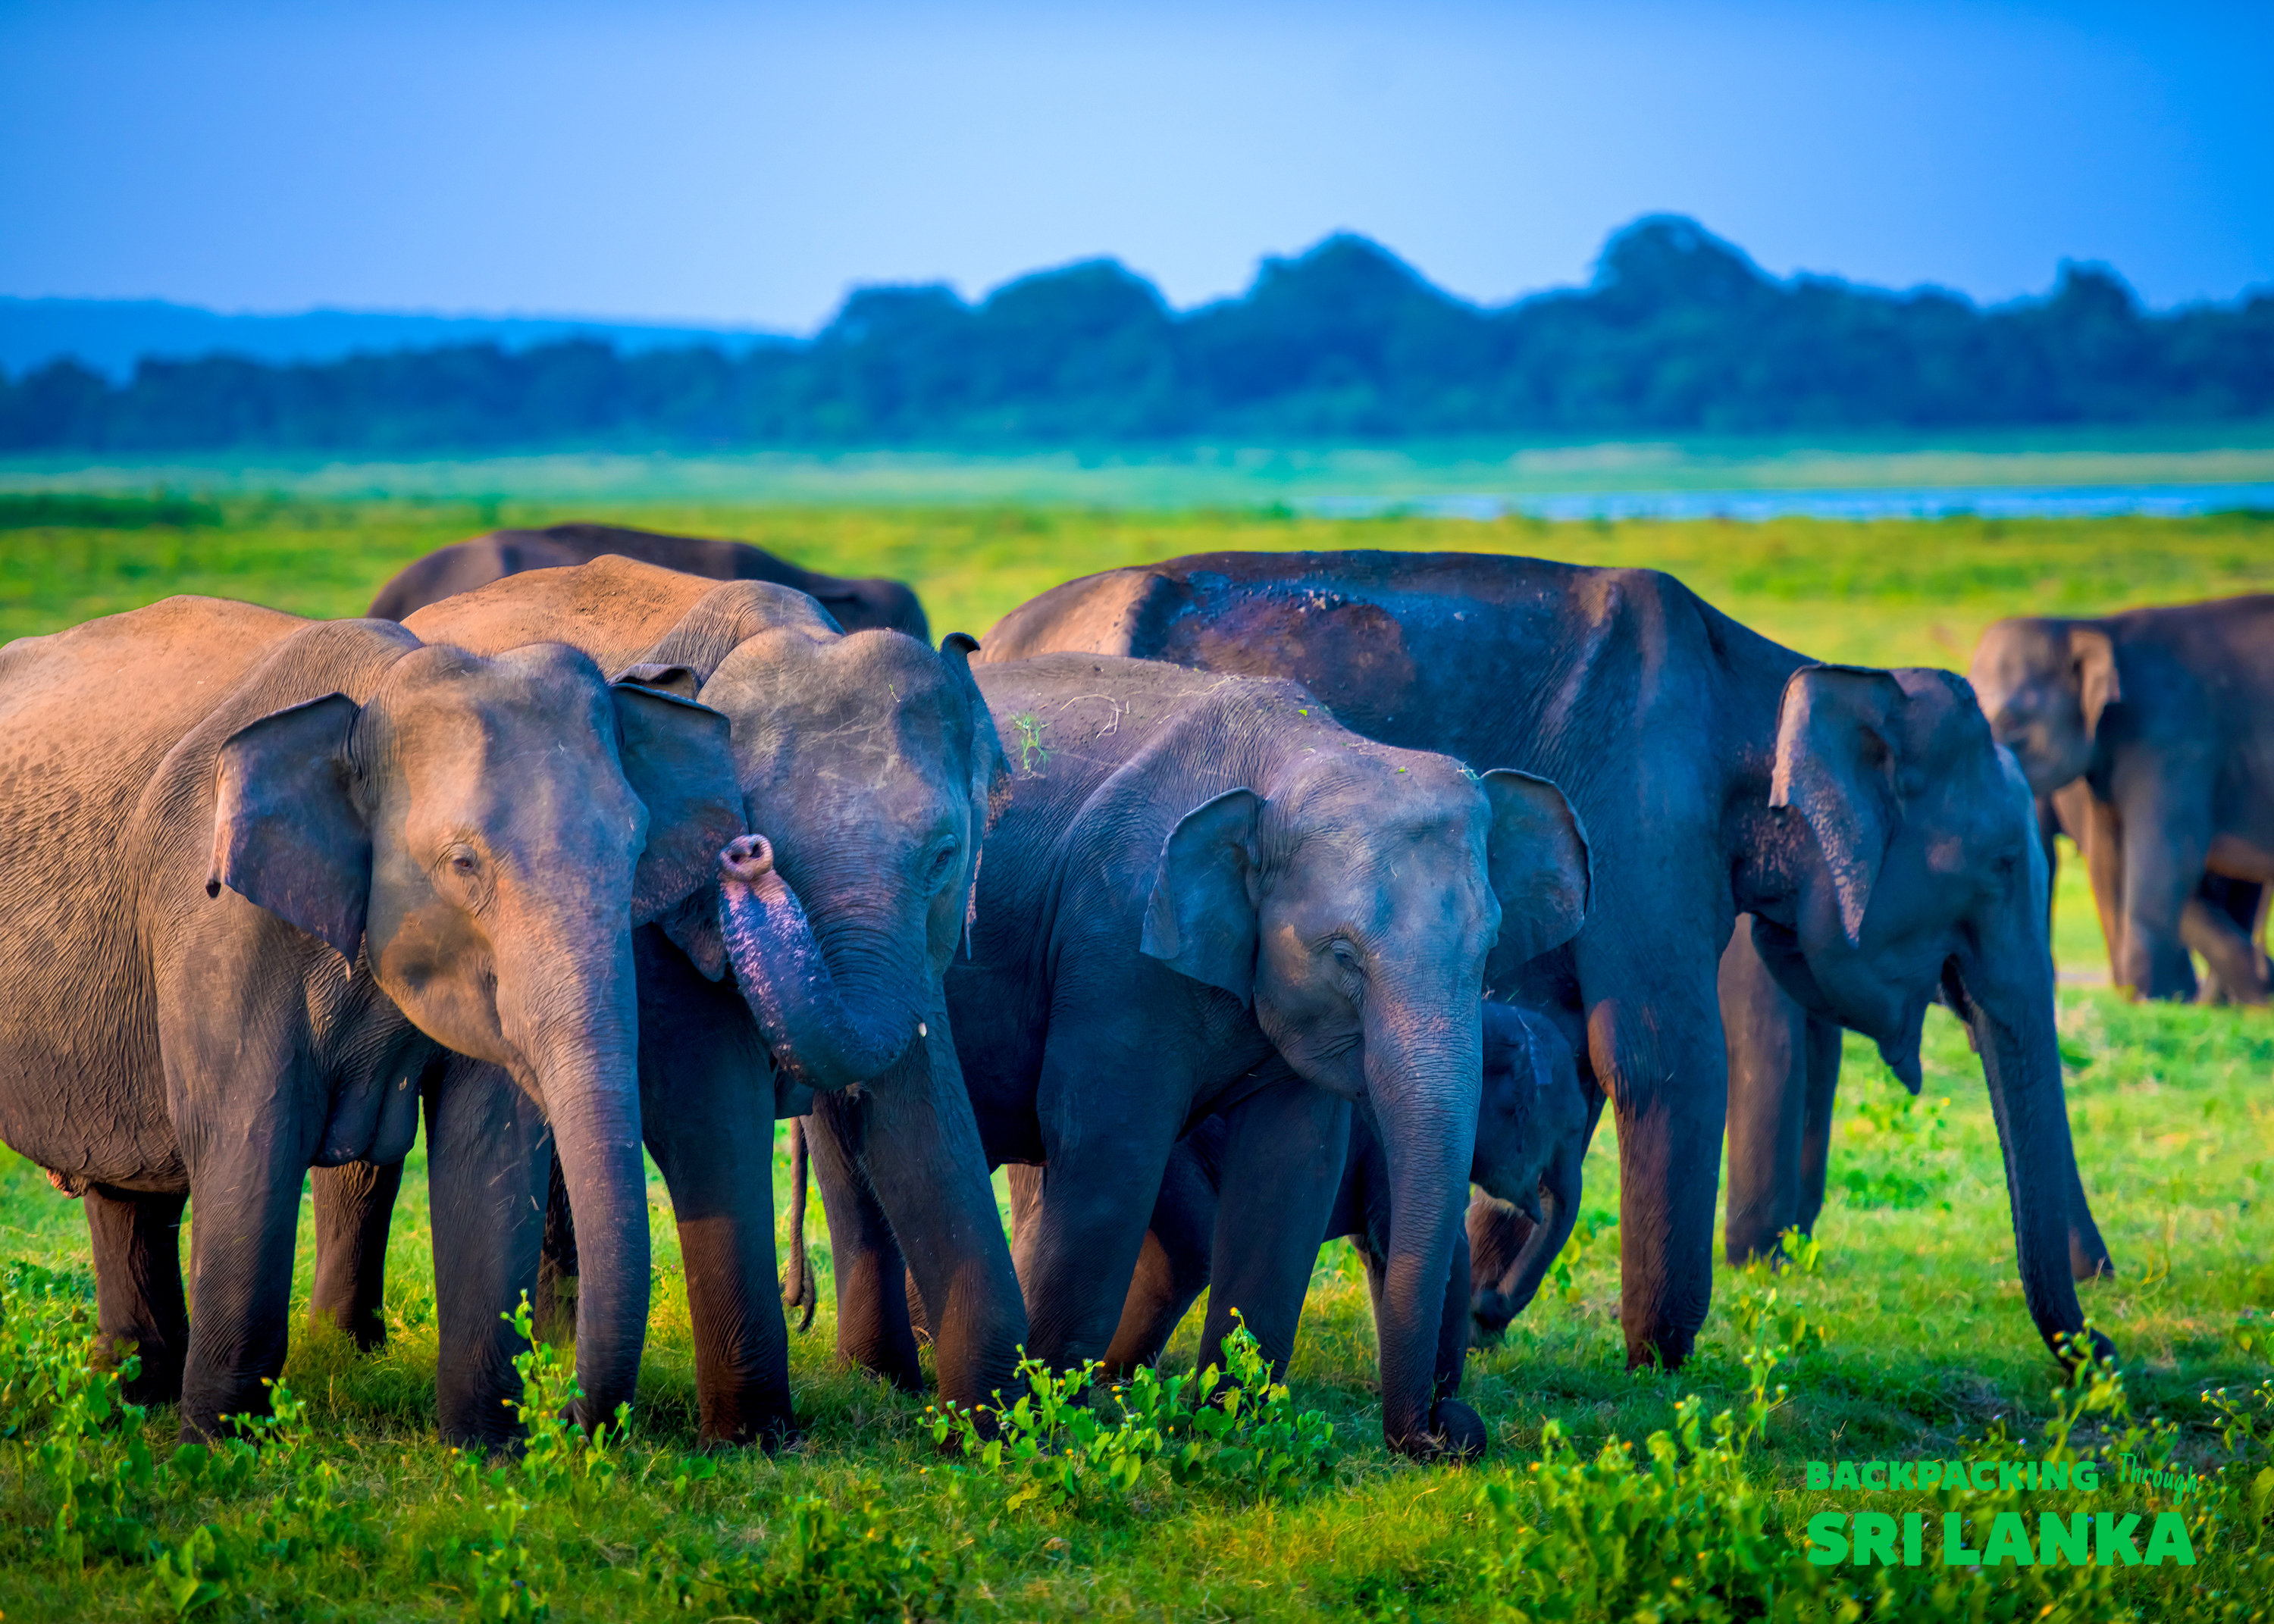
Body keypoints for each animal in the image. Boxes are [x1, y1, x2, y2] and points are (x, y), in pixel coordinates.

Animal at [0, 597, 745, 1440]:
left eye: (636, 847)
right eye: (463, 863)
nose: (567, 1414)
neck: (378, 692)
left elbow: (490, 1144)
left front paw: (487, 1450)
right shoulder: (214, 919)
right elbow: (246, 1138)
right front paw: (218, 1448)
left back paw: (128, 1386)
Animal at [307, 554, 1021, 1446]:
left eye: (945, 854)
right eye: (749, 835)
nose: (749, 859)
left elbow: (920, 1115)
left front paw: (1004, 1430)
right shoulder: (659, 932)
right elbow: (711, 1111)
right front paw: (757, 1442)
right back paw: (349, 1353)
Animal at [862, 652, 1591, 1458]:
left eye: (1489, 949)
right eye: (1343, 955)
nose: (1447, 1431)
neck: (1297, 750)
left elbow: (1292, 1166)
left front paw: (1228, 1421)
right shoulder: (1114, 938)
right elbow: (1107, 1144)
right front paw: (1048, 1424)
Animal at [981, 550, 2115, 1373]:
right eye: (2002, 863)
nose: (2103, 1345)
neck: (1769, 671)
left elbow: (1569, 1044)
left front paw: (1482, 1308)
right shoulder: (1646, 807)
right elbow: (1661, 1054)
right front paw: (1658, 1362)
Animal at [1969, 597, 2274, 1002]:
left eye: (2010, 720)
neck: (2090, 627)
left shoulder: (2174, 739)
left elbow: (2165, 857)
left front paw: (2148, 999)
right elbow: (2113, 857)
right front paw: (2151, 998)